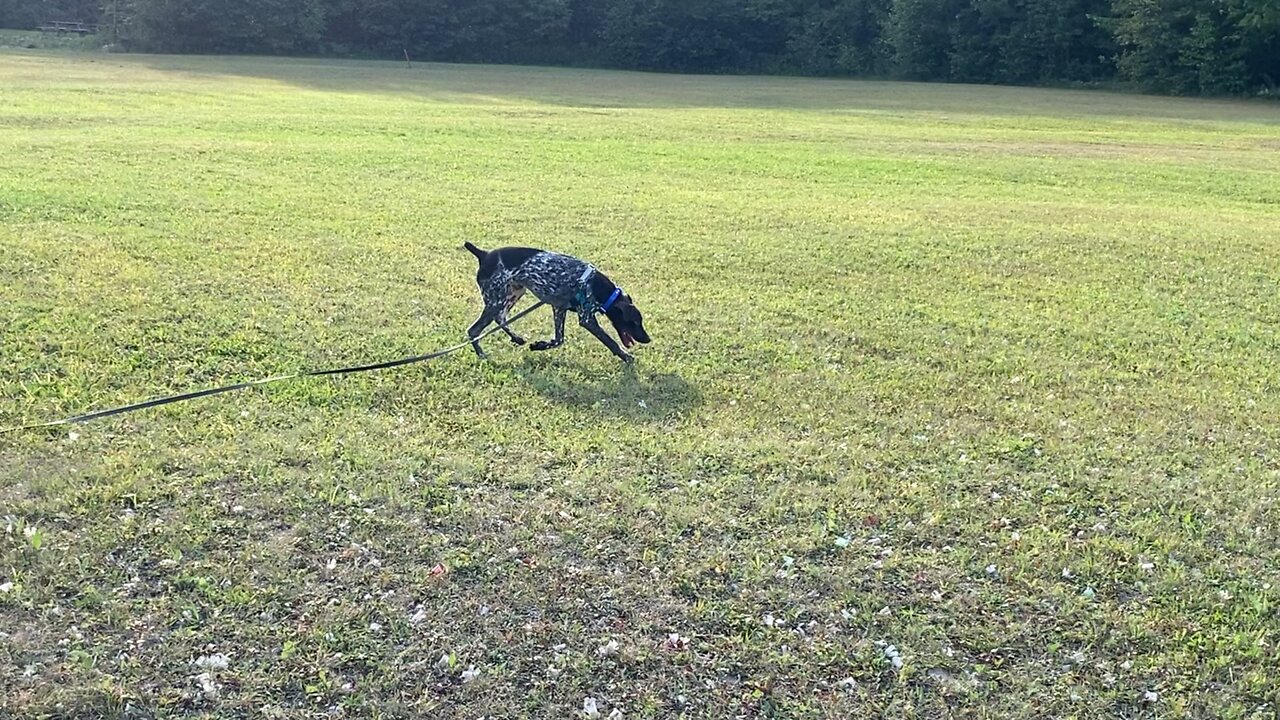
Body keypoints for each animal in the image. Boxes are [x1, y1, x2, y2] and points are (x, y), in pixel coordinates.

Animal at [463, 242, 650, 363]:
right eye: (635, 322)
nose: (647, 339)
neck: (596, 286)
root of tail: (484, 254)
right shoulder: (587, 319)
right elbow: (611, 342)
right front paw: (626, 357)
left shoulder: (558, 308)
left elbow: (559, 340)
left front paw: (539, 345)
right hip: (497, 300)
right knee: (474, 330)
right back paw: (482, 355)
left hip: (512, 294)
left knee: (500, 318)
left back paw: (516, 338)